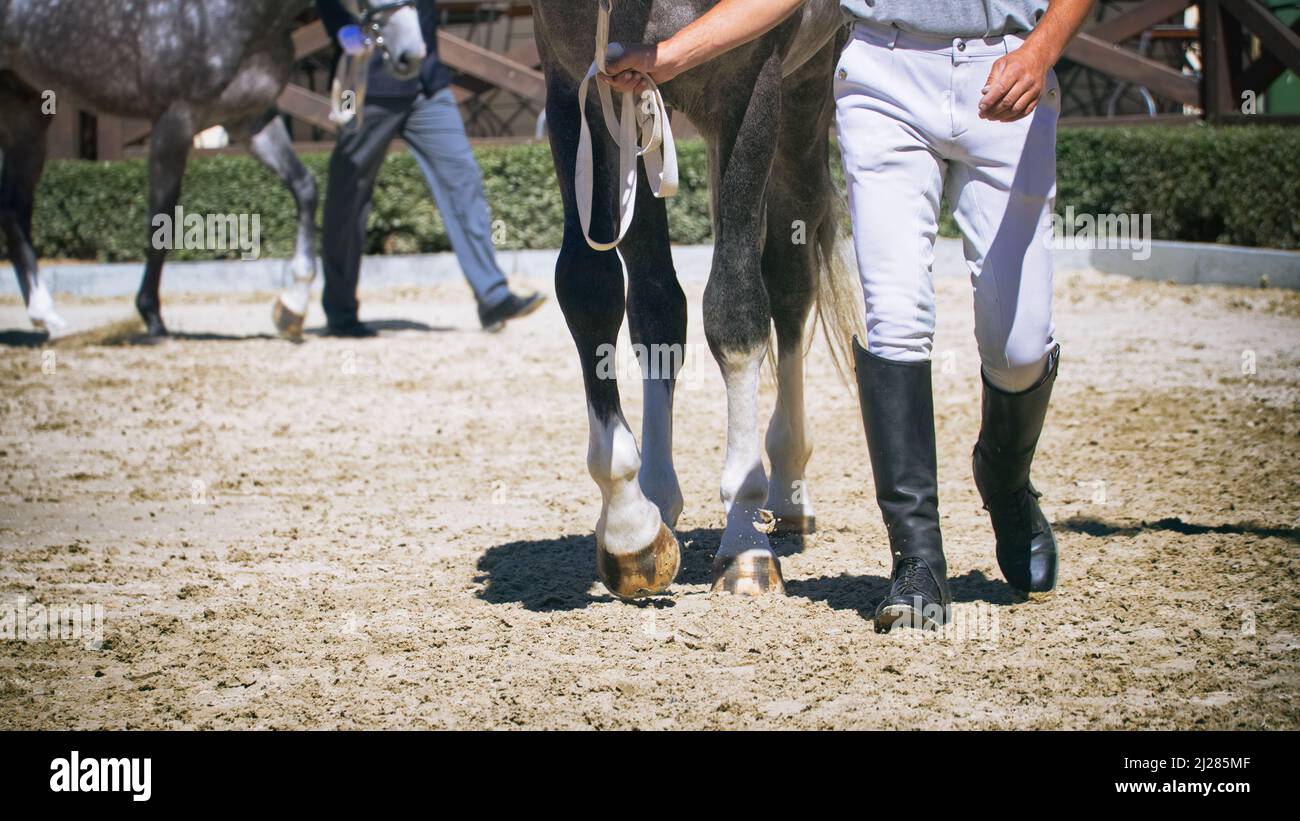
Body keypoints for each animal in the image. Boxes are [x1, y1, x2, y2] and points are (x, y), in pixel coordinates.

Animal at [0, 0, 421, 337]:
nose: (412, 53)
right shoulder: (174, 120)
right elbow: (161, 214)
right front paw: (151, 316)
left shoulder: (249, 120)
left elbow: (305, 187)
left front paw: (293, 306)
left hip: (28, 107)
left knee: (15, 210)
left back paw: (46, 315)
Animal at [527, 1, 863, 597]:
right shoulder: (580, 89)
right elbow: (593, 291)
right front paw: (630, 526)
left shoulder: (750, 86)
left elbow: (735, 309)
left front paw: (746, 542)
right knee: (656, 305)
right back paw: (661, 497)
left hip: (804, 100)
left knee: (789, 285)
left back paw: (787, 489)